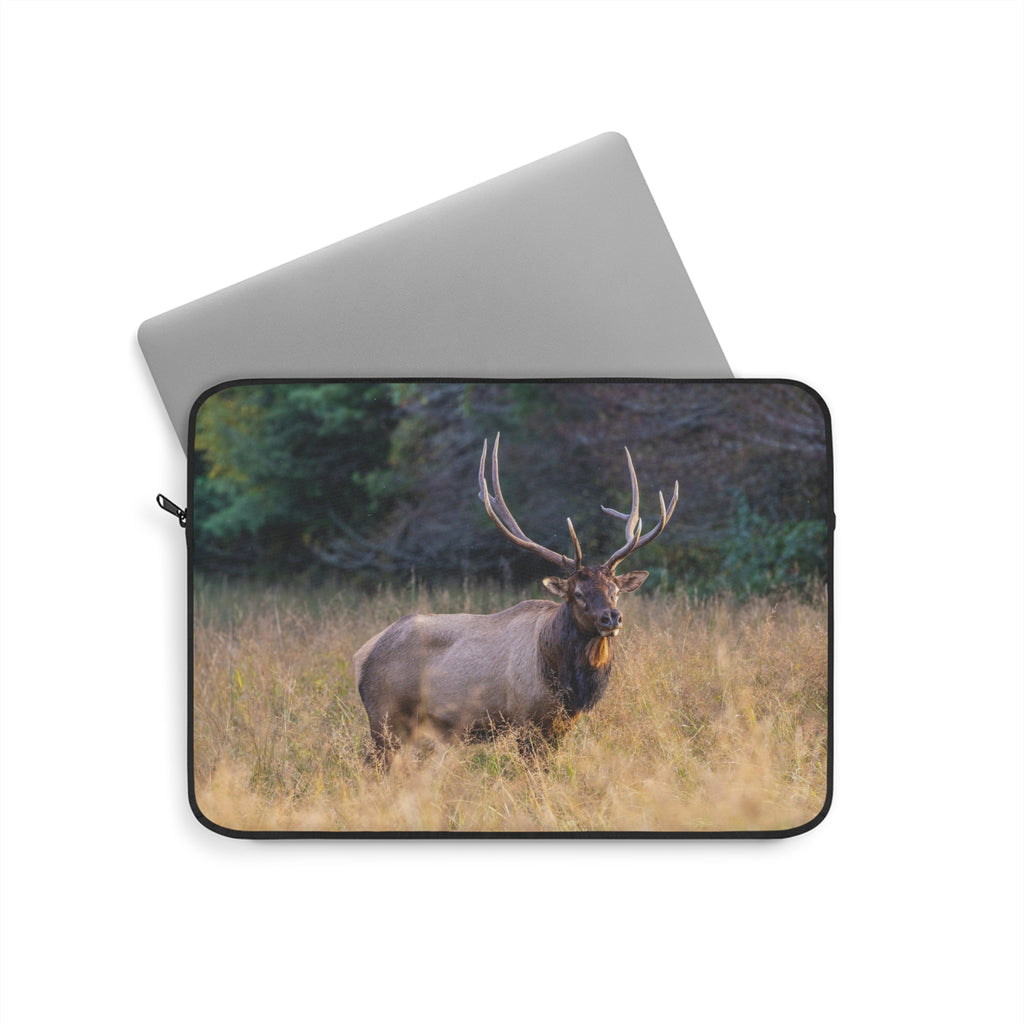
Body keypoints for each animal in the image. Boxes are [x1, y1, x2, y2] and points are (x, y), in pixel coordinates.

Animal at [353, 433, 678, 769]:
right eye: (577, 593)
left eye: (615, 590)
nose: (611, 617)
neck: (567, 681)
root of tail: (361, 655)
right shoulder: (526, 719)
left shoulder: (561, 724)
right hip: (385, 716)